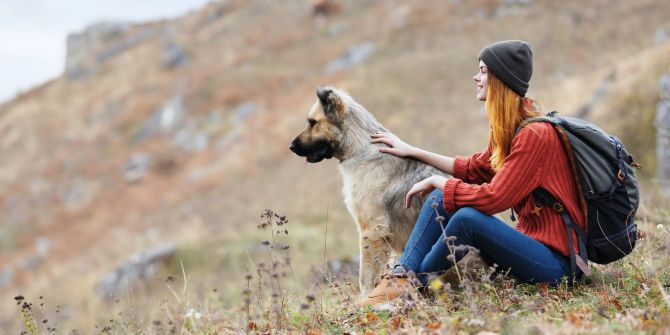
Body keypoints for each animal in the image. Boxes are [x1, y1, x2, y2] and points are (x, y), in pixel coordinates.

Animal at [292, 86, 448, 296]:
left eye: (312, 122)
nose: (291, 147)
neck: (361, 149)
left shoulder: (372, 231)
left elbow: (365, 277)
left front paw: (366, 297)